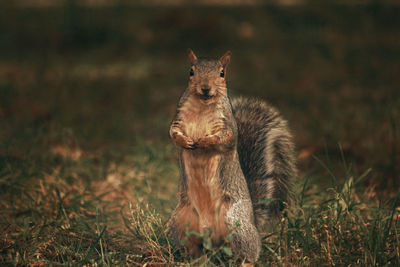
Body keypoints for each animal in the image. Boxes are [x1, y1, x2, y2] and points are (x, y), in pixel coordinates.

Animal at [167, 49, 296, 264]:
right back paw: (191, 261)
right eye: (191, 71)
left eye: (222, 73)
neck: (202, 105)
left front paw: (205, 141)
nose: (205, 88)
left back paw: (246, 261)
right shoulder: (178, 118)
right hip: (182, 223)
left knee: (250, 252)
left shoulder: (227, 124)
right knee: (195, 250)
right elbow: (173, 133)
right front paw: (186, 141)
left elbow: (224, 138)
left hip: (235, 223)